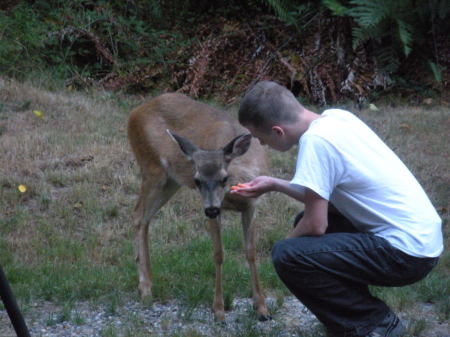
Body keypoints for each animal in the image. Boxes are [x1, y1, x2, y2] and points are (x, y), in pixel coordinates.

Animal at [125, 91, 270, 320]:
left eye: (223, 178)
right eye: (197, 180)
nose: (210, 209)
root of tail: (135, 112)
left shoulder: (251, 205)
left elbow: (251, 252)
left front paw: (262, 308)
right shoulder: (214, 207)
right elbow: (218, 253)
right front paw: (218, 310)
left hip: (170, 180)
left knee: (144, 217)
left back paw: (146, 284)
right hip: (152, 168)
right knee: (138, 214)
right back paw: (145, 287)